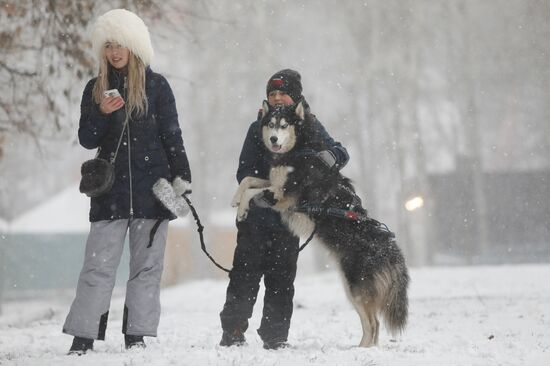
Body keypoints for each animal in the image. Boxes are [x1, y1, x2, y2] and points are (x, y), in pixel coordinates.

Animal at [233, 101, 410, 346]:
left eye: (284, 125)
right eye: (270, 124)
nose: (274, 140)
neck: (299, 150)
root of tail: (392, 250)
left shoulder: (281, 196)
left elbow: (252, 190)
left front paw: (242, 209)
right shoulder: (273, 182)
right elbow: (248, 179)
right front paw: (235, 199)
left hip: (355, 288)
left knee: (373, 324)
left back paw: (361, 350)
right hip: (351, 288)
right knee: (373, 325)